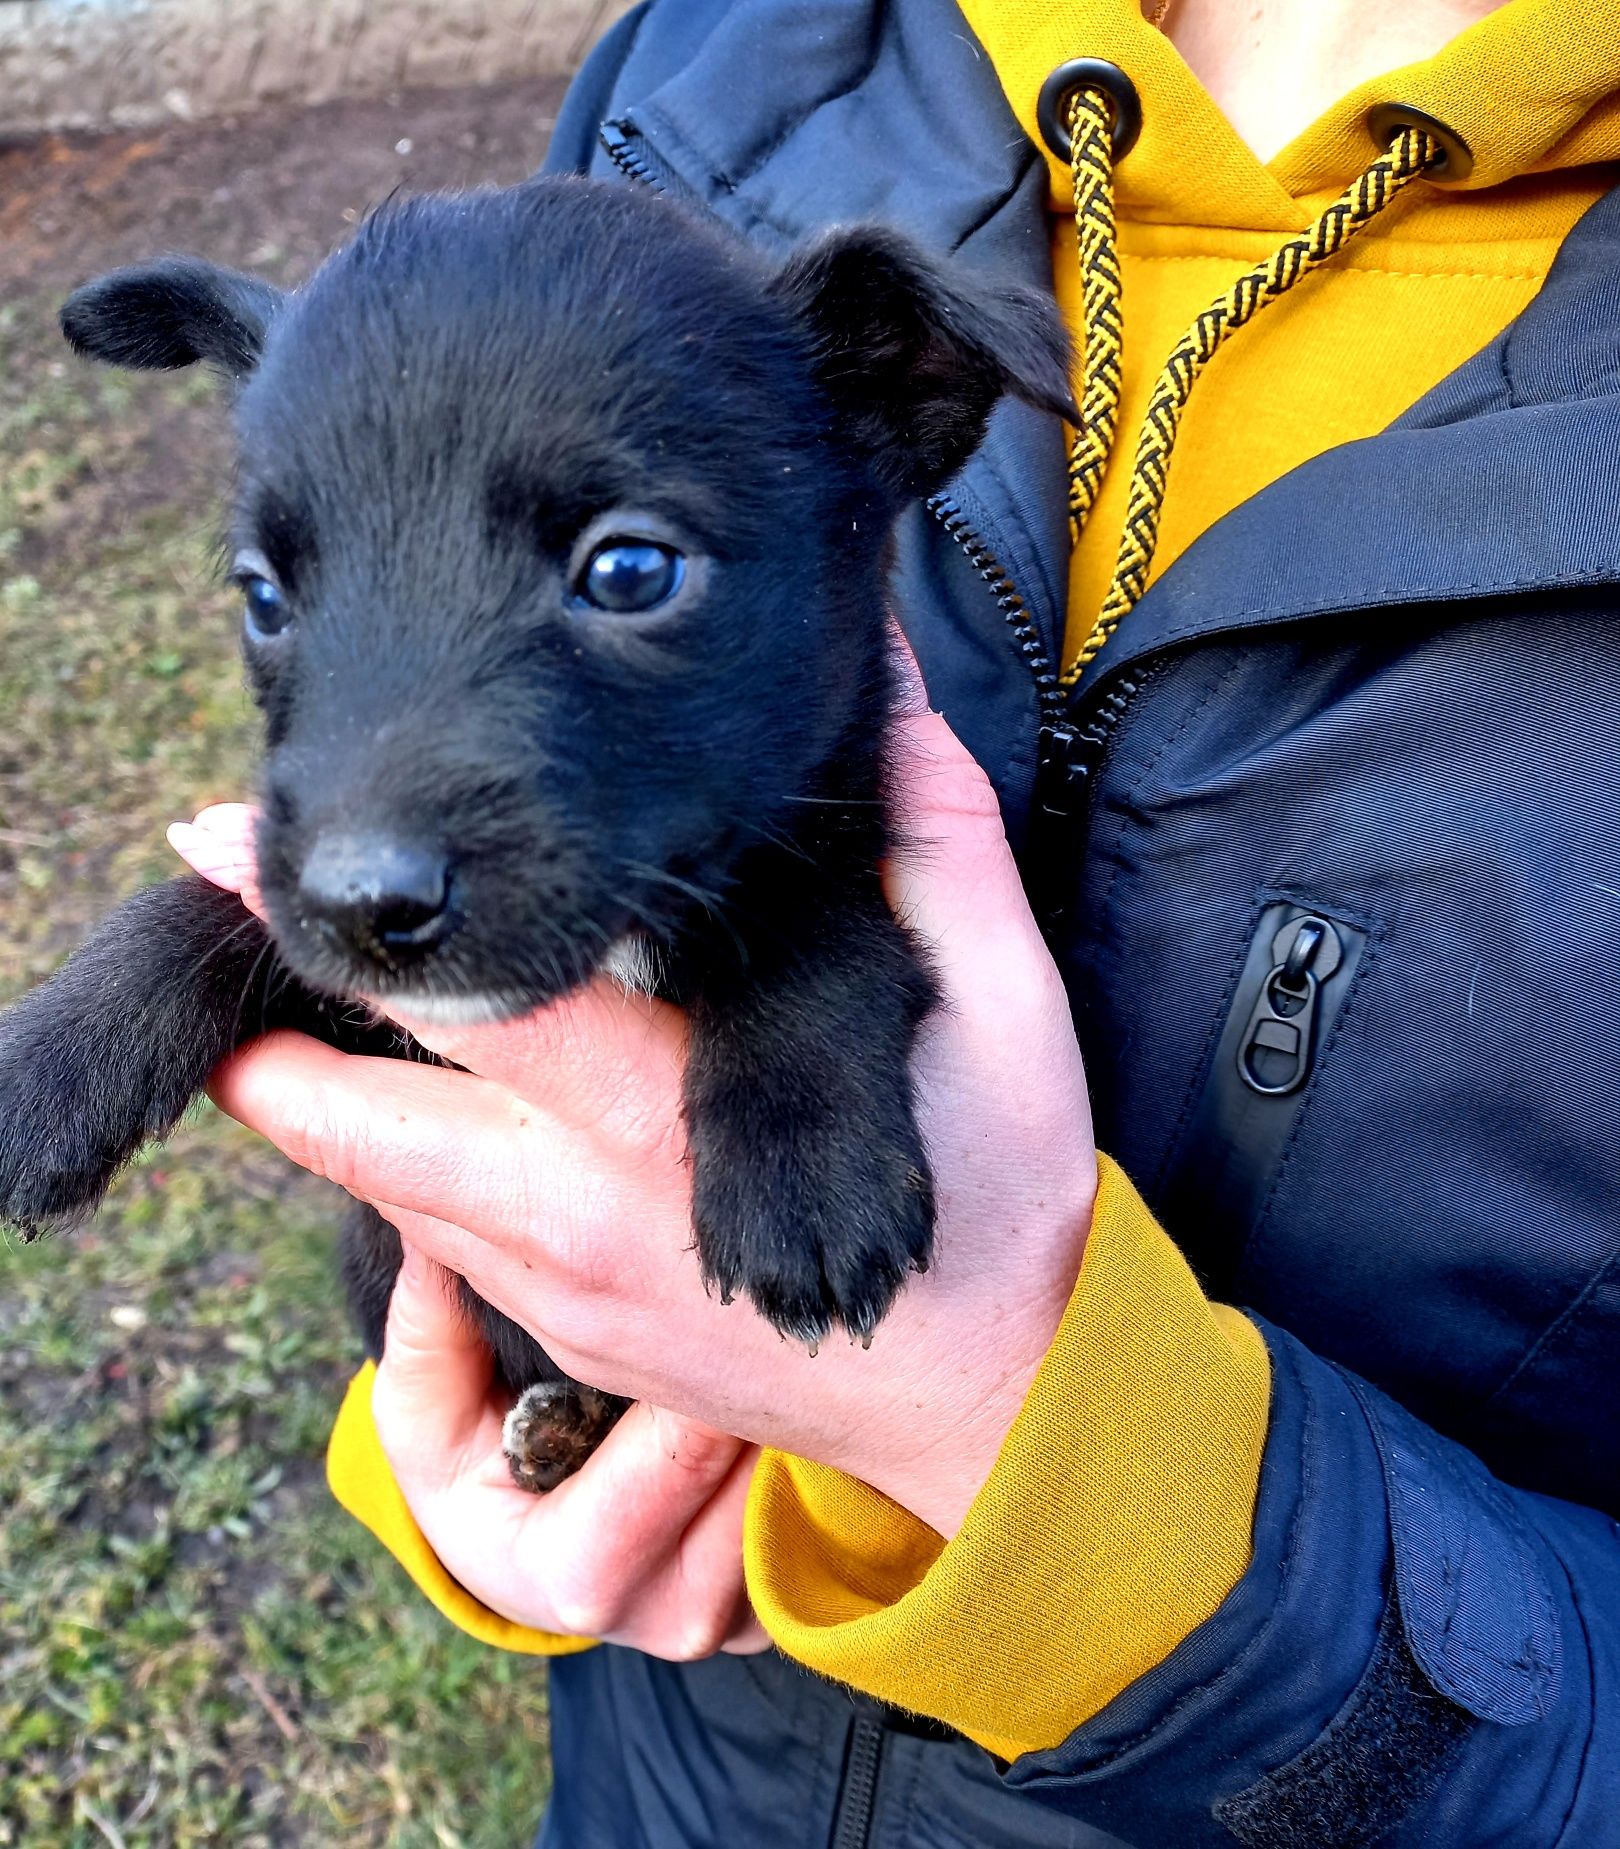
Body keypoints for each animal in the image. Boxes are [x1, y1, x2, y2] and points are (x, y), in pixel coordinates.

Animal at [0, 176, 1072, 1486]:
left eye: (630, 571)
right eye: (262, 594)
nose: (364, 905)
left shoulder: (841, 829)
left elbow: (823, 933)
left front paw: (806, 1164)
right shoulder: (363, 1007)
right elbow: (209, 905)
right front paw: (49, 1058)